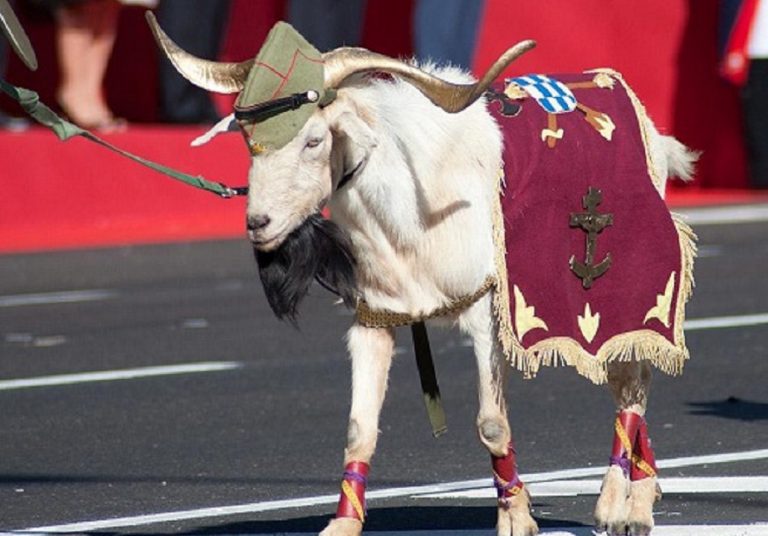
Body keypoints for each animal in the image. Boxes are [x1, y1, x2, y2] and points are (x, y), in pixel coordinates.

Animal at [148, 15, 696, 536]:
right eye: (249, 143)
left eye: (313, 139)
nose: (258, 224)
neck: (412, 214)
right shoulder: (374, 321)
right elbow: (359, 429)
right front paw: (343, 523)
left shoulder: (488, 312)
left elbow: (492, 423)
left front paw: (516, 517)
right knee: (629, 376)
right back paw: (642, 493)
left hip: (626, 294)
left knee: (635, 379)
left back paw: (621, 508)